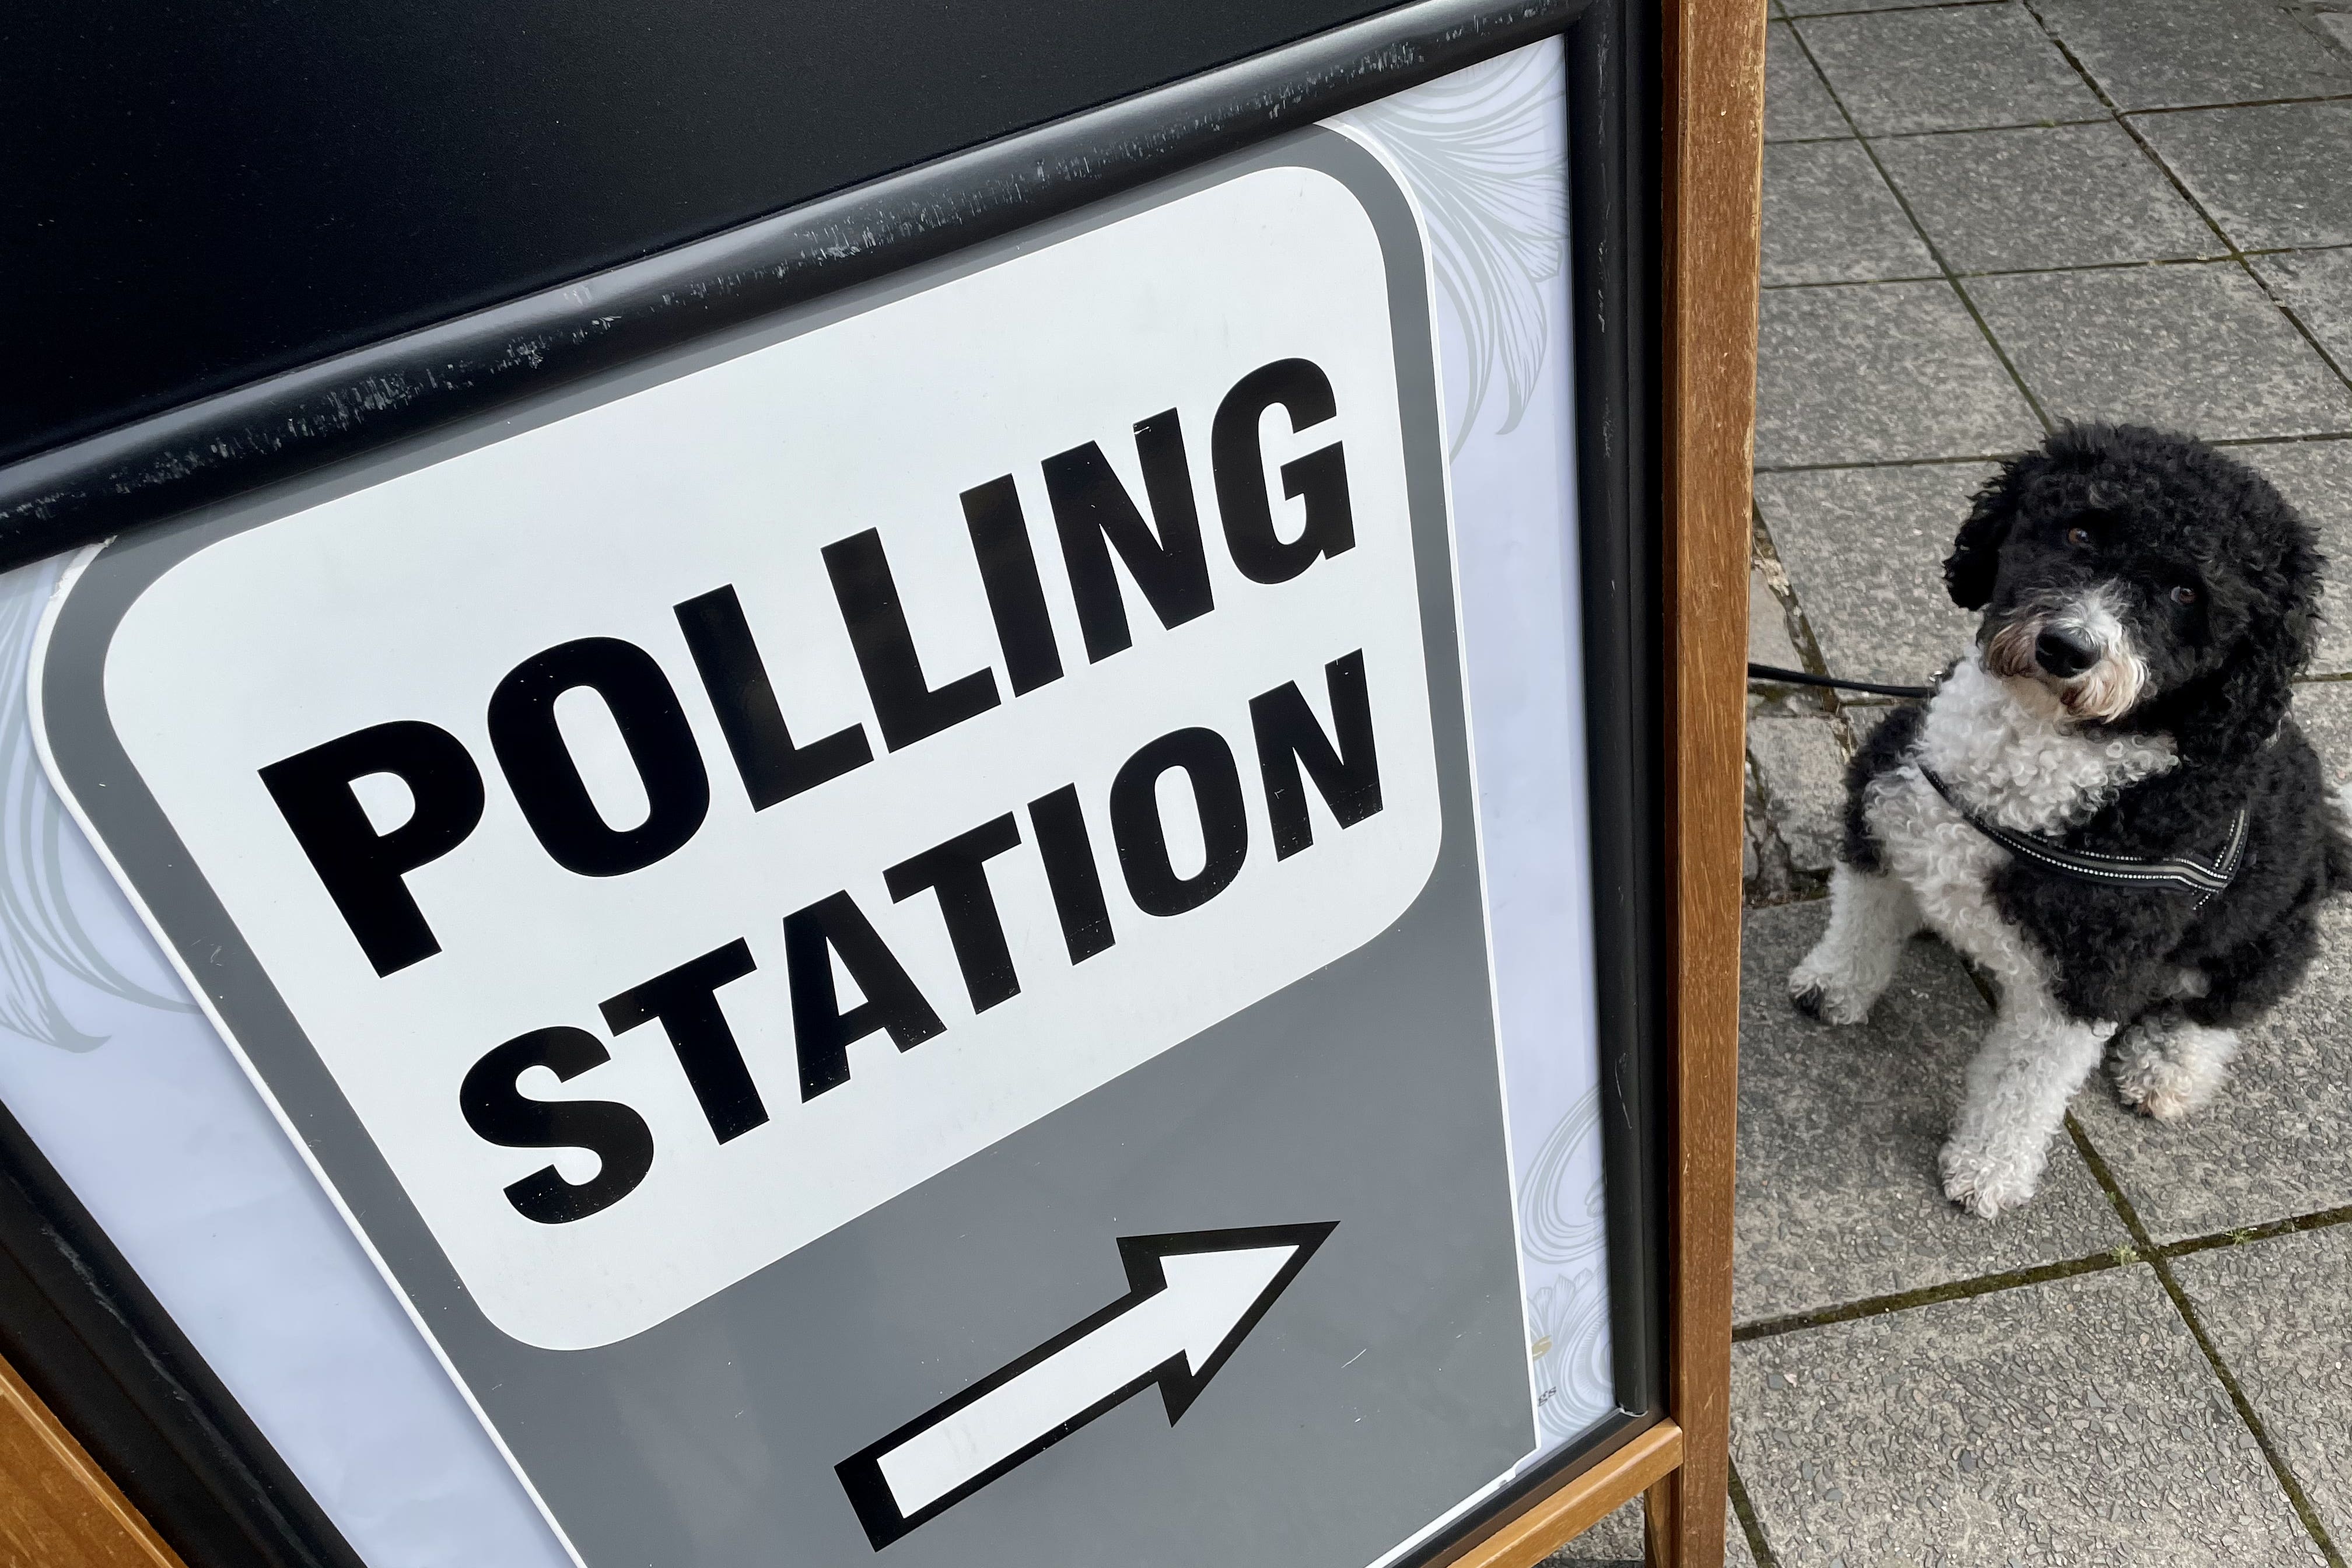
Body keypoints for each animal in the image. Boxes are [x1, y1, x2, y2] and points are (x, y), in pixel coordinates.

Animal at [1787, 423, 2342, 1222]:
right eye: (2081, 529)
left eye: (2187, 593)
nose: (2068, 648)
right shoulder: (1888, 815)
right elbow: (1860, 922)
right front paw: (1833, 986)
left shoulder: (2087, 981)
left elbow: (2025, 1086)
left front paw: (1989, 1168)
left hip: (2267, 939)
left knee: (2223, 1007)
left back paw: (2167, 1066)